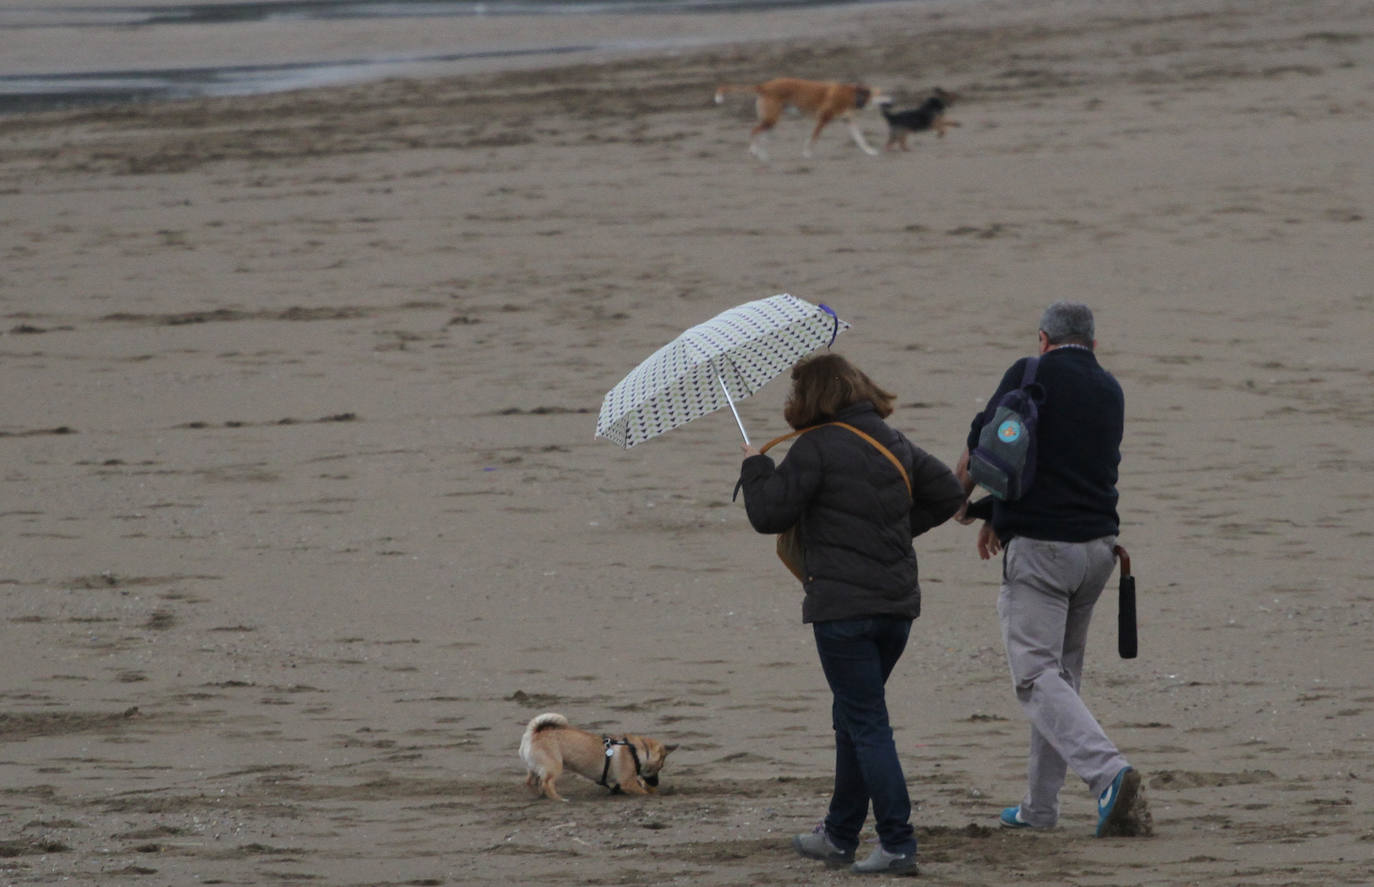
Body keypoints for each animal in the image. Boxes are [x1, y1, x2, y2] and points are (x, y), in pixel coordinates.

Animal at [519, 713, 676, 807]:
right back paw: (559, 799)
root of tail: (533, 733)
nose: (656, 783)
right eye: (659, 767)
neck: (636, 751)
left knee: (531, 781)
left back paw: (540, 795)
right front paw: (653, 795)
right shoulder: (628, 782)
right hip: (554, 767)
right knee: (547, 784)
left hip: (534, 769)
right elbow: (643, 792)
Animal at [714, 78, 884, 161]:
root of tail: (764, 86)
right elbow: (813, 138)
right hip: (771, 119)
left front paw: (870, 151)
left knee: (762, 136)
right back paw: (755, 151)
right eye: (880, 94)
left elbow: (860, 139)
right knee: (754, 131)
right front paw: (807, 153)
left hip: (771, 121)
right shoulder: (822, 119)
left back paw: (762, 155)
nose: (890, 99)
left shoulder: (849, 122)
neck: (854, 95)